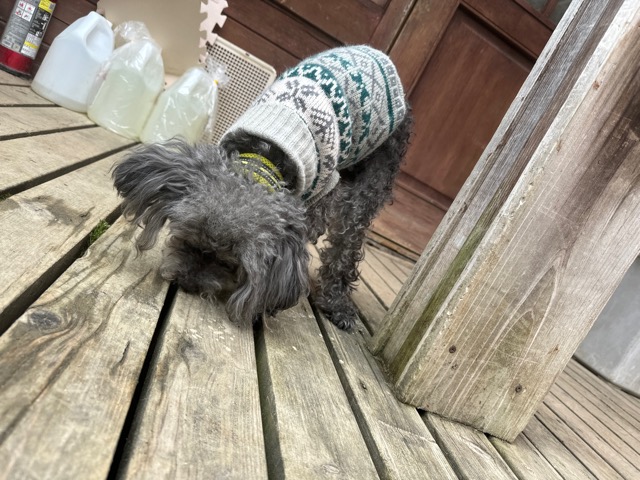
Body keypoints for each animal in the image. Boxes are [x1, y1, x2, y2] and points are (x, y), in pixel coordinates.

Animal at [112, 45, 412, 330]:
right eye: (186, 240)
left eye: (228, 264)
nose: (188, 283)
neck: (263, 158)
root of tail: (380, 56)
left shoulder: (319, 190)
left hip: (371, 180)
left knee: (346, 240)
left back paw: (337, 302)